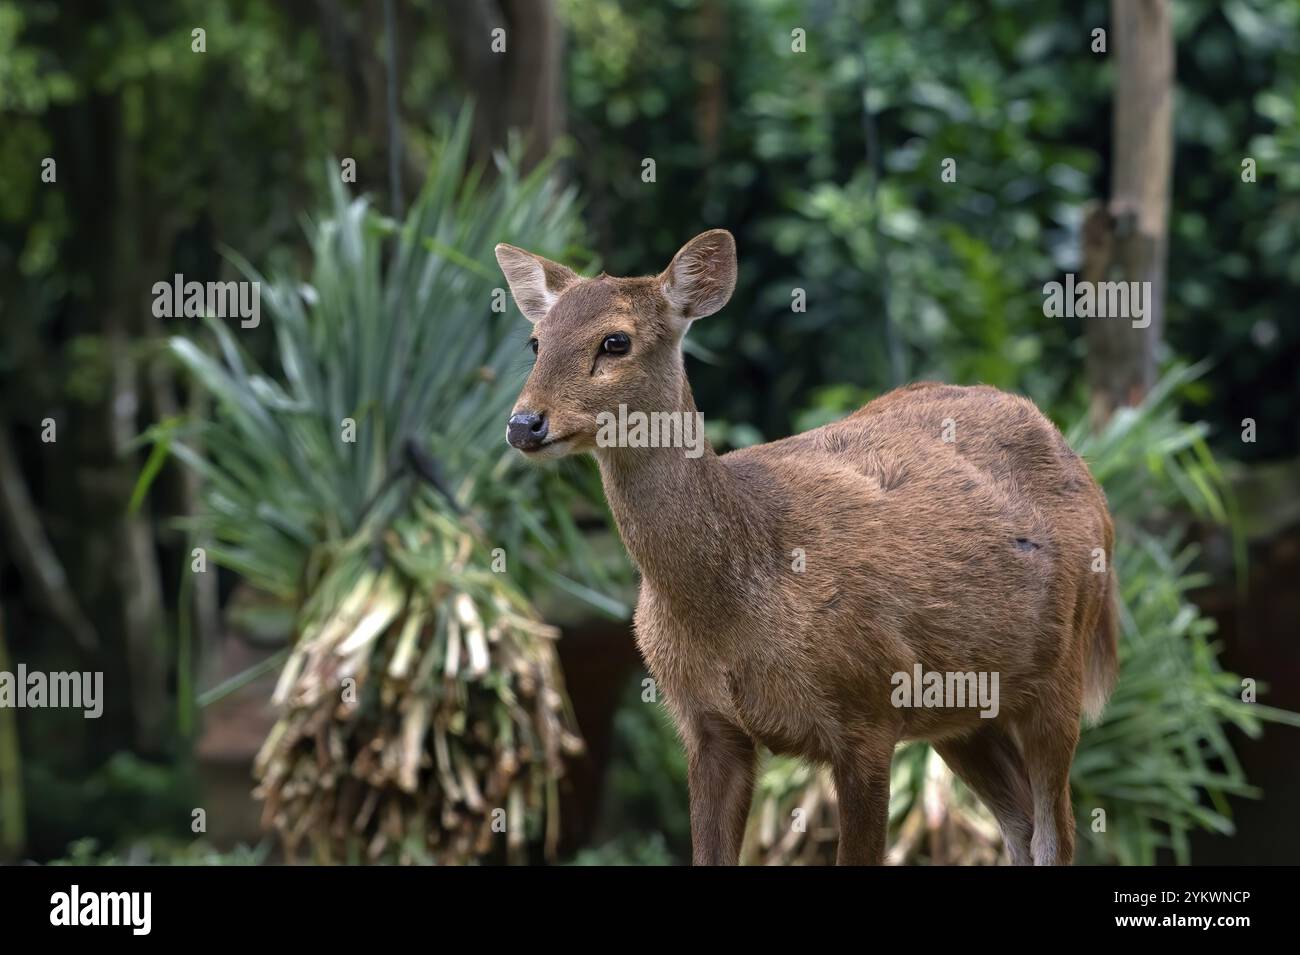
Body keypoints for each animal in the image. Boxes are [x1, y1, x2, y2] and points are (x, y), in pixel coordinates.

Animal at [491, 229, 1123, 867]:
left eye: (615, 340)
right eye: (536, 340)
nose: (524, 424)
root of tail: (1082, 467)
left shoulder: (869, 715)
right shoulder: (707, 724)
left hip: (1063, 666)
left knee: (1054, 833)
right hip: (964, 712)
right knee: (1018, 825)